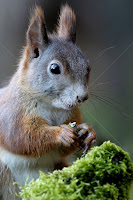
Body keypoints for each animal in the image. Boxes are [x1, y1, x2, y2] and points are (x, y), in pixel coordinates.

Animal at [0, 4, 96, 200]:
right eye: (54, 68)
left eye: (87, 67)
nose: (82, 97)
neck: (51, 106)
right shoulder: (13, 113)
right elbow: (21, 137)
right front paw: (60, 133)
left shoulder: (72, 114)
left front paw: (88, 132)